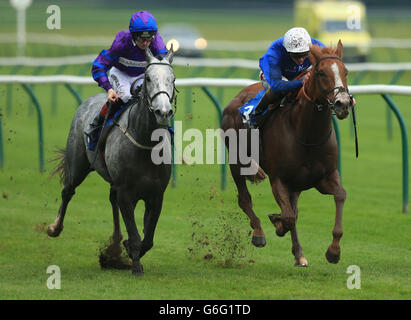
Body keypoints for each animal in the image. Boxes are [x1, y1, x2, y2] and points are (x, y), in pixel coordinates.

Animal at [47, 47, 176, 276]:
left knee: (111, 199)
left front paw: (124, 252)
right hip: (77, 165)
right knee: (67, 192)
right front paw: (135, 266)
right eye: (148, 78)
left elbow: (148, 238)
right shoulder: (126, 191)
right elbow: (135, 234)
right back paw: (55, 227)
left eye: (173, 79)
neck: (145, 144)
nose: (163, 111)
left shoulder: (156, 194)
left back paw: (115, 245)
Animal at [224, 41, 352, 266]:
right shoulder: (279, 179)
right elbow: (289, 218)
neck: (307, 134)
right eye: (320, 72)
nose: (343, 103)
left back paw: (299, 254)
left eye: (345, 71)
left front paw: (334, 251)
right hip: (236, 162)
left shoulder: (325, 177)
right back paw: (259, 233)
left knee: (293, 209)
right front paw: (276, 223)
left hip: (297, 185)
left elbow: (340, 195)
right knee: (244, 199)